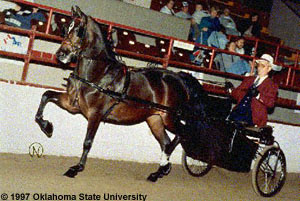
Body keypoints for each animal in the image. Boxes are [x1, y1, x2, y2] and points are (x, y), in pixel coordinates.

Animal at [34, 6, 206, 182]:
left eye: (78, 30)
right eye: (65, 28)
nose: (61, 55)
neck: (97, 74)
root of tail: (180, 78)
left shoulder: (95, 114)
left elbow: (87, 141)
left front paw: (76, 168)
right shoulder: (71, 104)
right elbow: (46, 95)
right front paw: (47, 127)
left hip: (169, 118)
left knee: (181, 135)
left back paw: (165, 164)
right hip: (155, 119)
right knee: (166, 142)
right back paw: (158, 172)